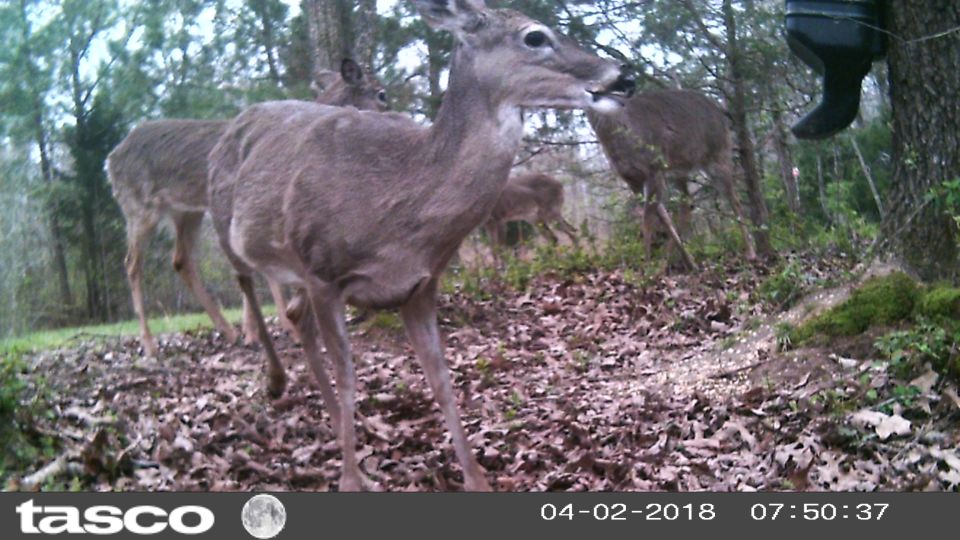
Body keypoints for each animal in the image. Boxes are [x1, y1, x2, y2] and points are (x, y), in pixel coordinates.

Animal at [107, 59, 387, 359]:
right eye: (381, 93)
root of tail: (110, 159)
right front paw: (275, 328)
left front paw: (267, 328)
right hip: (139, 205)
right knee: (132, 264)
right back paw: (149, 344)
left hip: (187, 211)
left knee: (181, 260)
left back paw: (229, 331)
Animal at [207, 0, 634, 491]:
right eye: (534, 36)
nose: (624, 76)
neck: (400, 197)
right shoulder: (324, 273)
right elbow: (350, 379)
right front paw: (350, 482)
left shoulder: (420, 285)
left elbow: (441, 379)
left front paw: (476, 479)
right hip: (235, 230)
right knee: (247, 283)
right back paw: (279, 384)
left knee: (298, 318)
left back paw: (342, 432)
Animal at [587, 89, 758, 271]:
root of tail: (720, 110)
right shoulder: (632, 179)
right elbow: (662, 217)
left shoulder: (654, 169)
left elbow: (649, 219)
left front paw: (647, 266)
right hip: (680, 169)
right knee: (687, 203)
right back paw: (685, 262)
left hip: (718, 154)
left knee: (735, 201)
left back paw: (751, 253)